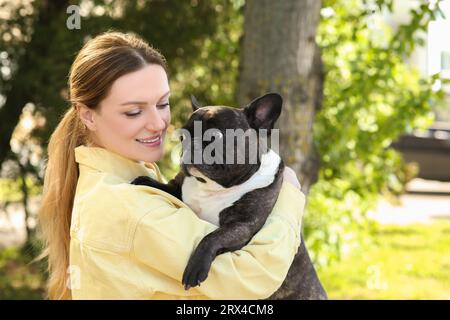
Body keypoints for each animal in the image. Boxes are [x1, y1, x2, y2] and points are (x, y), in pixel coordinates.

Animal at [131, 94, 326, 298]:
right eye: (184, 136)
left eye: (215, 137)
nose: (192, 145)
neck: (214, 186)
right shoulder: (180, 187)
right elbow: (167, 187)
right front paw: (146, 181)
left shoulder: (242, 226)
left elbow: (213, 237)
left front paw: (196, 267)